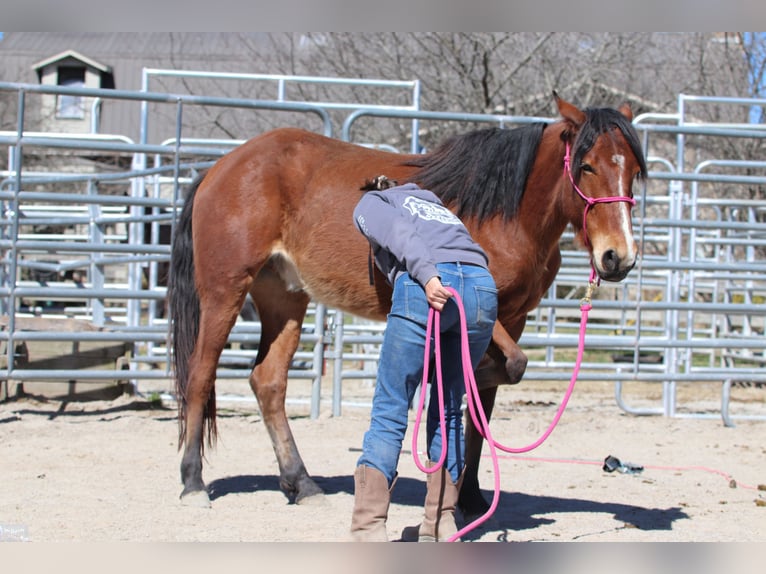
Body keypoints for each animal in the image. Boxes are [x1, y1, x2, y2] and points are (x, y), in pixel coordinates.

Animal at [168, 93, 648, 516]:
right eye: (585, 166)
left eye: (633, 171)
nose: (618, 257)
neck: (503, 213)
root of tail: (220, 167)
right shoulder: (477, 310)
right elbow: (506, 368)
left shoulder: (513, 317)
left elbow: (486, 405)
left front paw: (470, 495)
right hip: (224, 292)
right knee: (200, 376)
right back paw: (192, 483)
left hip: (283, 297)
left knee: (268, 383)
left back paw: (301, 484)